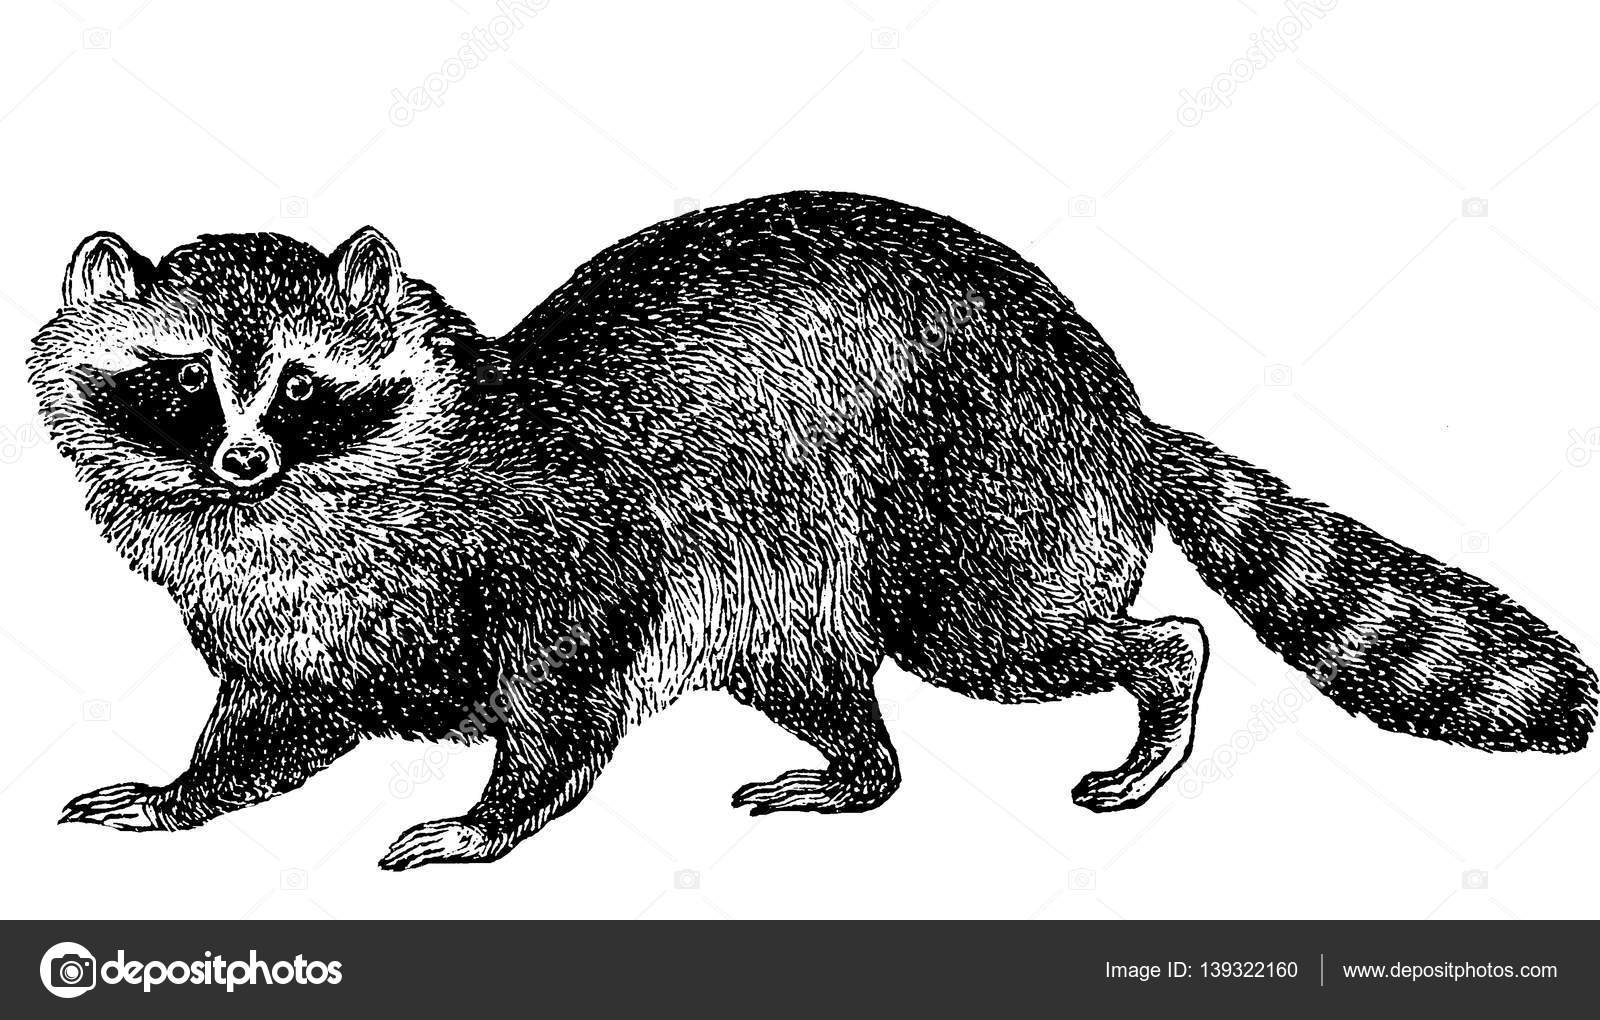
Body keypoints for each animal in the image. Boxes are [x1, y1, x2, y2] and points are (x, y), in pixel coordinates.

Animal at [29, 192, 1596, 869]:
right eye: (183, 377)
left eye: (302, 383)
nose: (240, 460)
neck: (295, 523)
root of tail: (1119, 412)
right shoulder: (295, 626)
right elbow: (273, 722)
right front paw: (179, 793)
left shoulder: (559, 552)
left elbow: (559, 713)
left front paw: (491, 818)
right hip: (795, 590)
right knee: (828, 686)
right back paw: (856, 770)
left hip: (987, 502)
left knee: (1043, 641)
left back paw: (1156, 685)